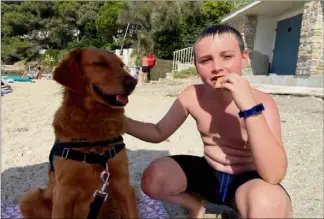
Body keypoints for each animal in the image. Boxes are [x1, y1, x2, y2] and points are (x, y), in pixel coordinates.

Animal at [18, 48, 139, 219]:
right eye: (99, 63)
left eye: (122, 66)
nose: (133, 82)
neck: (95, 125)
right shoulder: (63, 193)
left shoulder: (124, 184)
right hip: (29, 197)